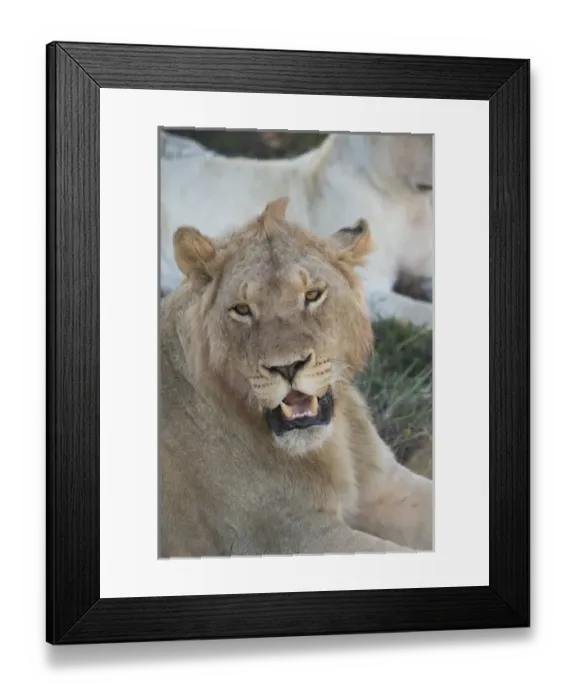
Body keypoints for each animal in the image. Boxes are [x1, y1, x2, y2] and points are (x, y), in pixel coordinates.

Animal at [159, 197, 433, 557]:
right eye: (242, 309)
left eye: (312, 295)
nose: (288, 367)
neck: (333, 443)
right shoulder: (289, 536)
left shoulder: (383, 483)